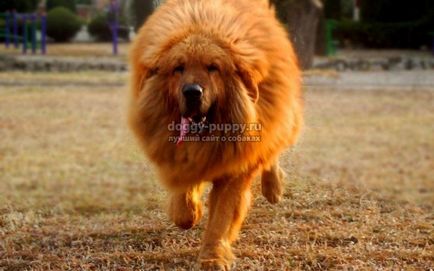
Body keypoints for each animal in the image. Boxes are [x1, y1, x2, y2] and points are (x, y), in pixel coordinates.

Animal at [129, 0, 302, 270]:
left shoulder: (235, 170)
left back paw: (273, 187)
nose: (192, 92)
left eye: (213, 68)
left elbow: (221, 218)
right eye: (178, 68)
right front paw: (189, 213)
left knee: (273, 149)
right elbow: (184, 204)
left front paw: (212, 257)